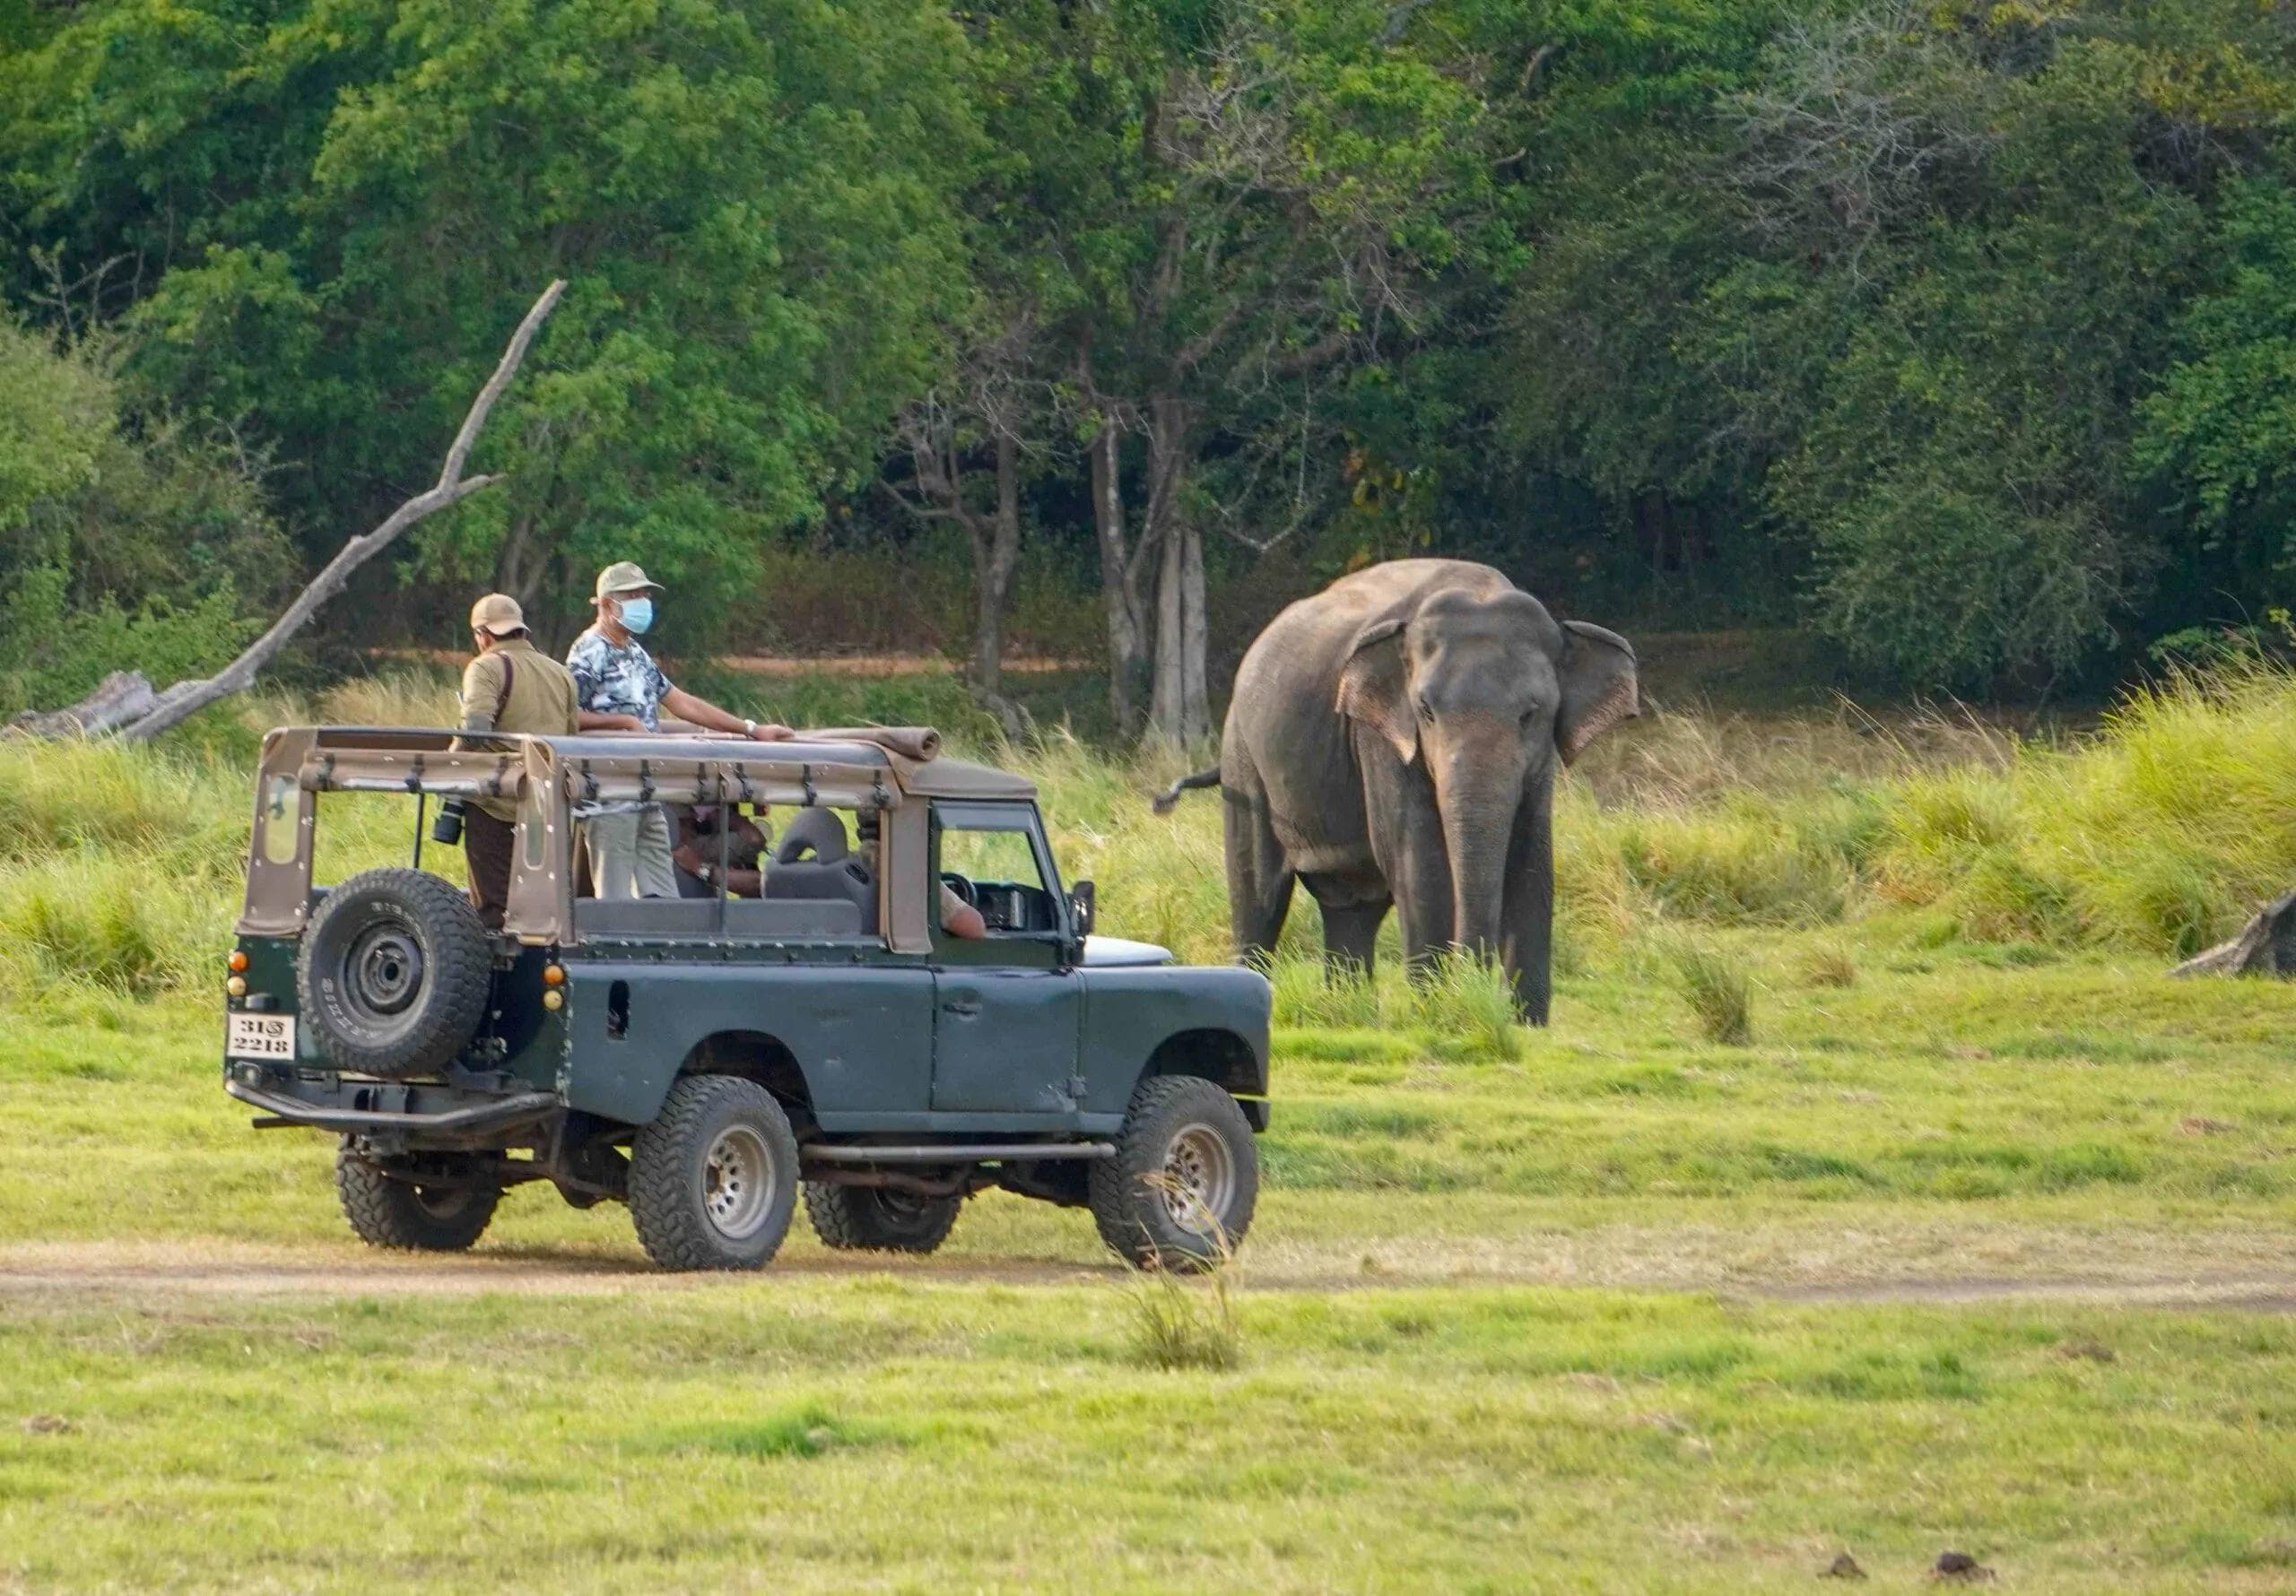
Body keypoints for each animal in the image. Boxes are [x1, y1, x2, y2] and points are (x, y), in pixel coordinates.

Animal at [1153, 559, 1638, 1023]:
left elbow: (1531, 859)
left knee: (1352, 905)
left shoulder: (1538, 766)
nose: (1477, 991)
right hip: (1244, 755)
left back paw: (1349, 1013)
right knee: (1259, 895)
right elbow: (1419, 860)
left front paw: (1526, 1024)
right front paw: (1439, 1013)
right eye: (1425, 711)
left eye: (1531, 714)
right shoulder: (1380, 737)